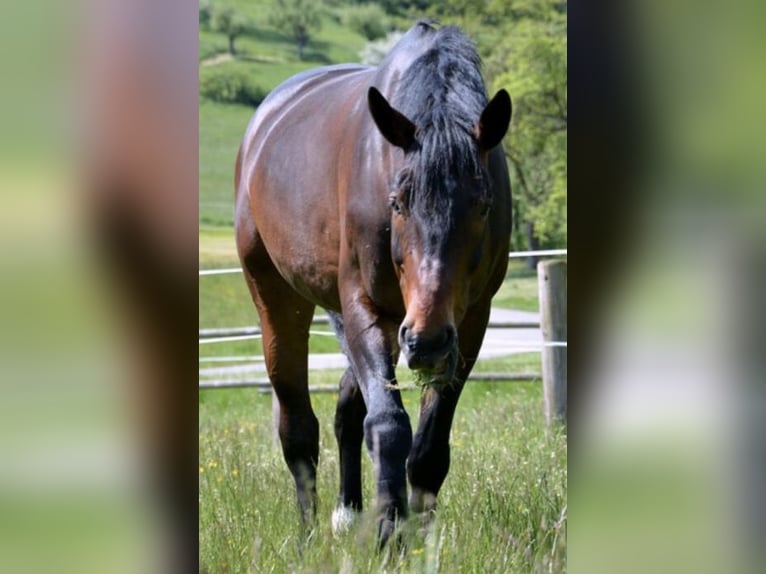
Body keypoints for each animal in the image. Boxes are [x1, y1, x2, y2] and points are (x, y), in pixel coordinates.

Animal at [232, 20, 510, 548]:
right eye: (397, 202)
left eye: (483, 205)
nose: (427, 341)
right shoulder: (366, 307)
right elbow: (387, 425)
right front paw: (390, 534)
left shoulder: (471, 322)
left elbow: (428, 445)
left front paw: (421, 538)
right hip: (277, 298)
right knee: (298, 428)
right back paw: (309, 538)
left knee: (346, 407)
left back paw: (347, 512)